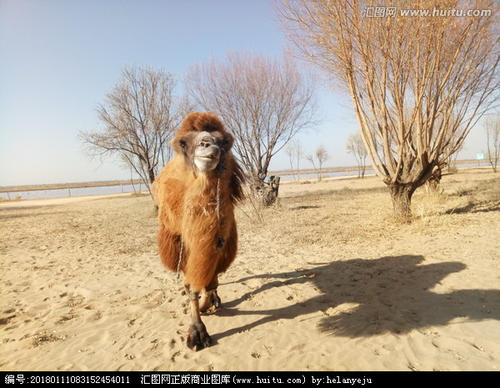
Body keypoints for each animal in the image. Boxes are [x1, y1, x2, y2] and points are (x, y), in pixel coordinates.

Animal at [153, 110, 245, 350]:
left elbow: (209, 279)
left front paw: (208, 305)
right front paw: (197, 333)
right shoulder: (181, 241)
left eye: (223, 141)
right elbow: (190, 285)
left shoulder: (222, 240)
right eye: (184, 142)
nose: (207, 144)